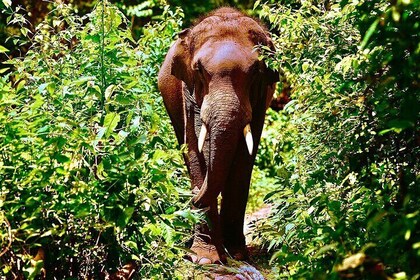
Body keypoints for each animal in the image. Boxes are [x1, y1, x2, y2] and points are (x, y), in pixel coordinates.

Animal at [158, 7, 278, 264]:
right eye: (199, 70)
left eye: (256, 71)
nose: (191, 198)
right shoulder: (189, 93)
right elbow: (194, 147)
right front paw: (205, 259)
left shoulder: (260, 99)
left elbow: (244, 157)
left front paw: (237, 255)